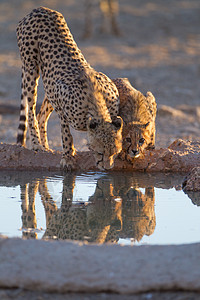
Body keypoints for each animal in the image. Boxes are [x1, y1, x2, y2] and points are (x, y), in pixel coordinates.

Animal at [16, 7, 122, 170]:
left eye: (115, 153)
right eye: (100, 153)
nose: (107, 168)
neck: (97, 103)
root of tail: (40, 9)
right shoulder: (62, 105)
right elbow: (66, 134)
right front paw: (67, 158)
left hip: (49, 83)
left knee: (41, 115)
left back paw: (46, 147)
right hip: (30, 70)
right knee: (31, 110)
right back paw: (36, 144)